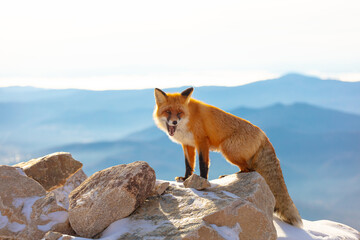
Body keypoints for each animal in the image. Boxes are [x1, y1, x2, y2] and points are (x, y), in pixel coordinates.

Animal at [153, 86, 302, 227]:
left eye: (179, 113)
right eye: (168, 112)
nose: (174, 122)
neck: (188, 119)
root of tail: (264, 135)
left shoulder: (202, 141)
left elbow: (203, 164)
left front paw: (202, 181)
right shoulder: (187, 144)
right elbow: (189, 164)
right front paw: (185, 178)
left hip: (227, 150)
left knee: (249, 169)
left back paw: (229, 176)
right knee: (248, 169)